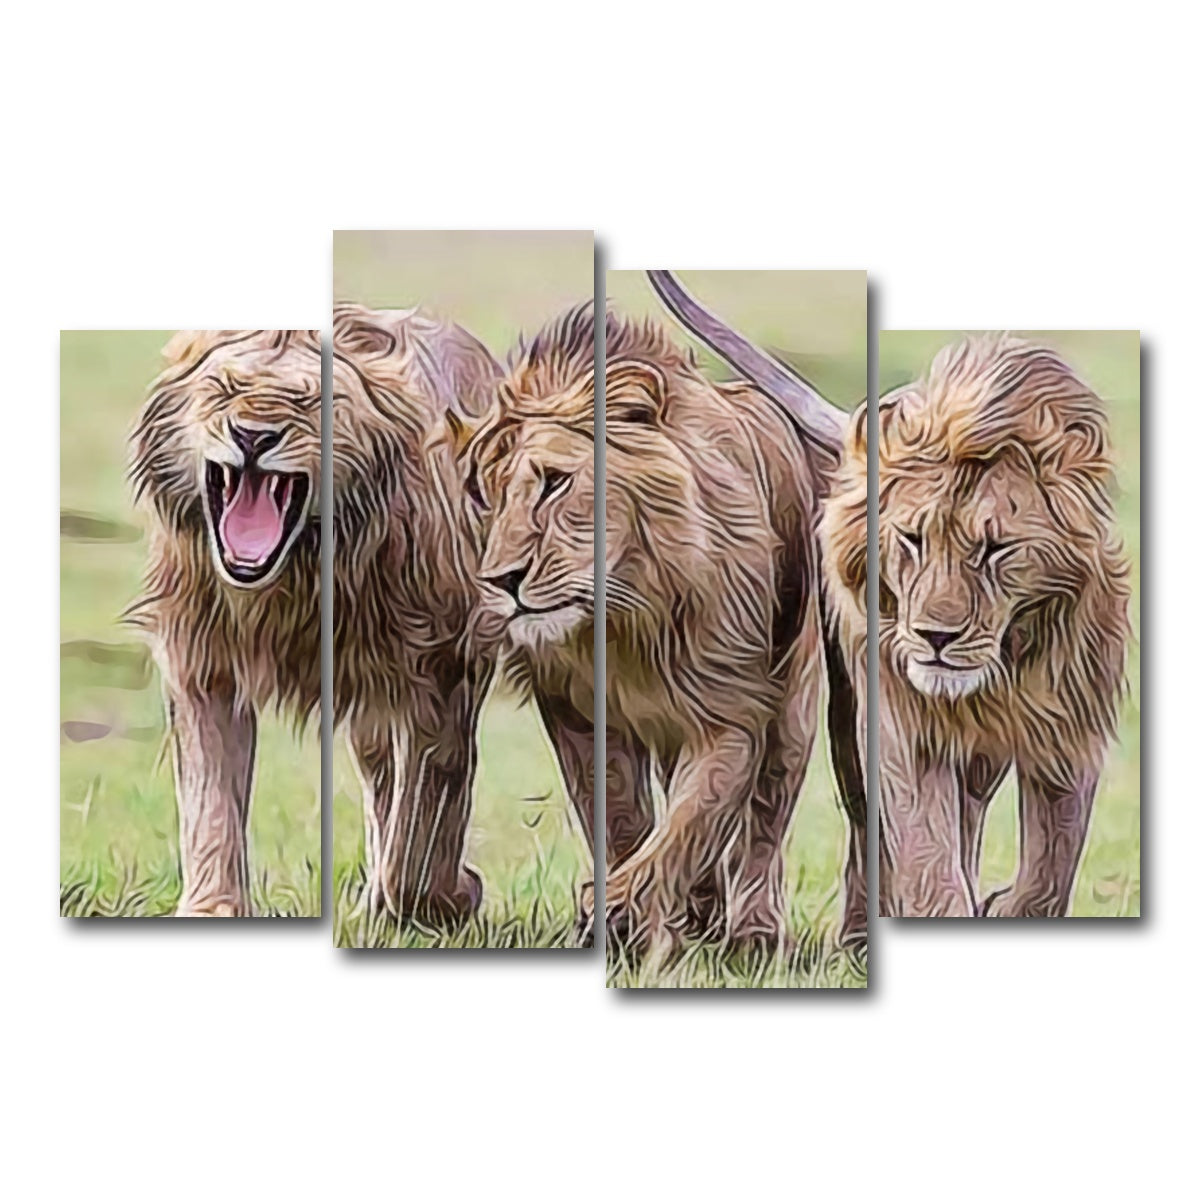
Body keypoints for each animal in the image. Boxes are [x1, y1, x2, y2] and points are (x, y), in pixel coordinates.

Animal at [128, 309, 501, 919]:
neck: (293, 582)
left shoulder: (443, 672)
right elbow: (211, 803)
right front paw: (211, 909)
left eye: (309, 401)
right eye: (225, 388)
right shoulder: (203, 665)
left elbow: (425, 822)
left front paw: (448, 897)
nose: (253, 437)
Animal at [462, 297, 866, 953]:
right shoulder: (576, 713)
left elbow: (691, 821)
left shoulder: (734, 711)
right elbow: (622, 817)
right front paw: (630, 916)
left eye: (554, 482)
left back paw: (756, 932)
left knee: (768, 818)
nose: (502, 581)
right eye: (487, 496)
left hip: (800, 703)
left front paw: (618, 910)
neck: (626, 614)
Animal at [822, 334, 1132, 917]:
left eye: (996, 549)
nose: (935, 639)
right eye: (912, 538)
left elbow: (1052, 867)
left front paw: (1005, 906)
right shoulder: (905, 728)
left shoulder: (1070, 727)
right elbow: (928, 859)